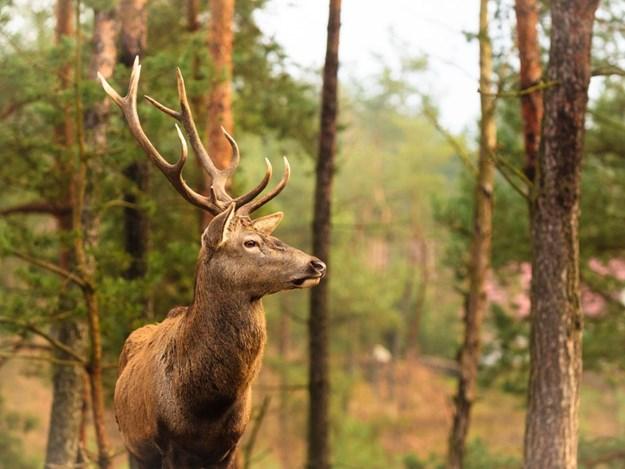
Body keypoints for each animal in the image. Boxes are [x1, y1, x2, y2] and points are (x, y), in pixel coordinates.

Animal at [99, 59, 324, 468]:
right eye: (250, 242)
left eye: (266, 235)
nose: (316, 264)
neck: (204, 406)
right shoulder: (167, 444)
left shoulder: (232, 446)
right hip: (132, 445)